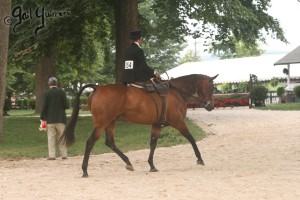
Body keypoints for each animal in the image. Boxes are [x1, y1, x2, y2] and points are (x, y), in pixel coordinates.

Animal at [61, 73, 218, 177]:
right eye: (212, 88)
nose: (211, 106)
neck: (176, 92)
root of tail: (97, 87)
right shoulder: (178, 122)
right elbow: (191, 139)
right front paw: (199, 159)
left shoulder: (156, 125)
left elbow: (153, 144)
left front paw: (152, 165)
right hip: (101, 123)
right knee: (90, 142)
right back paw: (85, 170)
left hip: (110, 122)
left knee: (110, 142)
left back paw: (128, 162)